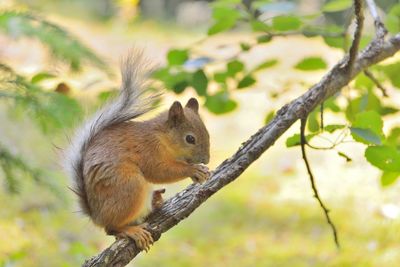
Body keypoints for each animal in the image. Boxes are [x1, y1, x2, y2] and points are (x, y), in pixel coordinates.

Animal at [63, 51, 209, 252]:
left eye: (207, 133)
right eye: (190, 139)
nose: (207, 159)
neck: (161, 137)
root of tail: (96, 215)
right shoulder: (148, 149)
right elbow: (159, 170)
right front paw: (193, 170)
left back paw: (156, 201)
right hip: (129, 186)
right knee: (111, 229)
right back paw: (131, 231)